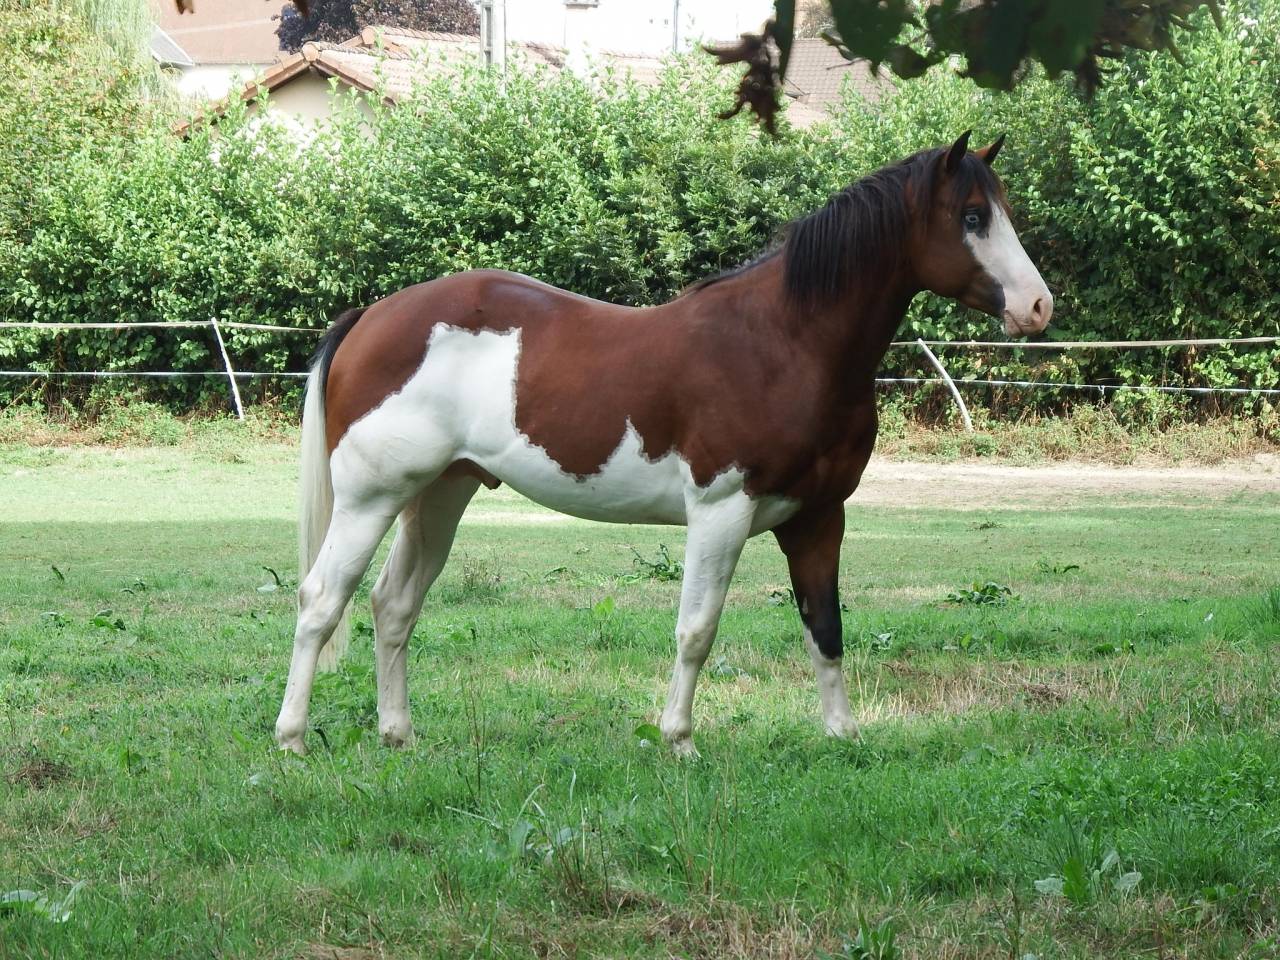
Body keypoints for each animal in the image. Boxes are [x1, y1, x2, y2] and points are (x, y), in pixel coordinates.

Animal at [274, 131, 1052, 757]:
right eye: (972, 216)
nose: (1038, 306)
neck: (786, 342)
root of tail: (372, 315)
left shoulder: (818, 518)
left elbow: (825, 627)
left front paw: (844, 736)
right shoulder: (721, 512)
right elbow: (696, 630)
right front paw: (678, 740)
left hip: (438, 496)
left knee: (393, 606)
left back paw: (397, 735)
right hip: (371, 500)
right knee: (321, 601)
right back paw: (291, 739)